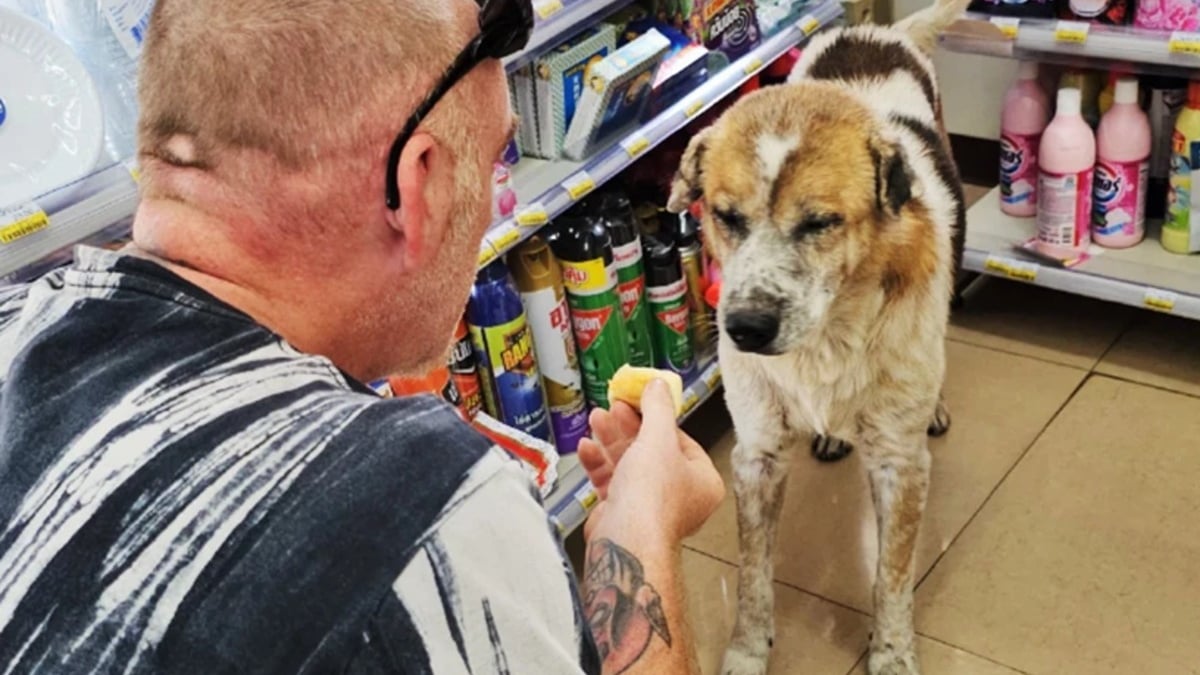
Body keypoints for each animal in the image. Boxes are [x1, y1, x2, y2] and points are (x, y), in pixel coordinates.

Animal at [672, 2, 969, 667]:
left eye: (820, 223)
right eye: (725, 217)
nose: (745, 328)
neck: (826, 341)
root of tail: (880, 32)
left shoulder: (899, 463)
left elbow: (892, 576)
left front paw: (891, 655)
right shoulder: (755, 454)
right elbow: (753, 575)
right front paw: (747, 653)